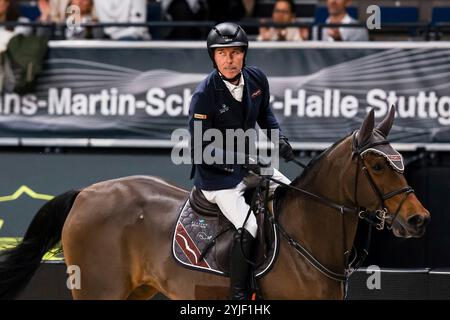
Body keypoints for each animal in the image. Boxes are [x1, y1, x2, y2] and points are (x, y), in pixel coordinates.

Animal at [0, 107, 430, 300]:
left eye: (401, 163)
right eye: (377, 165)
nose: (419, 220)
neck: (307, 237)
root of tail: (87, 192)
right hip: (98, 291)